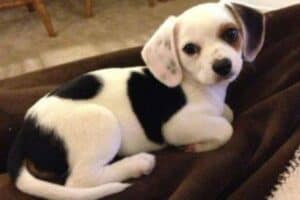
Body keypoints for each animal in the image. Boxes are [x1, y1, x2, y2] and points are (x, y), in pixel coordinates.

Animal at [7, 1, 264, 200]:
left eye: (231, 34)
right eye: (190, 49)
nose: (223, 66)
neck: (198, 85)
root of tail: (25, 131)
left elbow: (227, 113)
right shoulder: (176, 126)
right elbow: (226, 128)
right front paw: (197, 145)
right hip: (102, 121)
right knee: (80, 180)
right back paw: (138, 164)